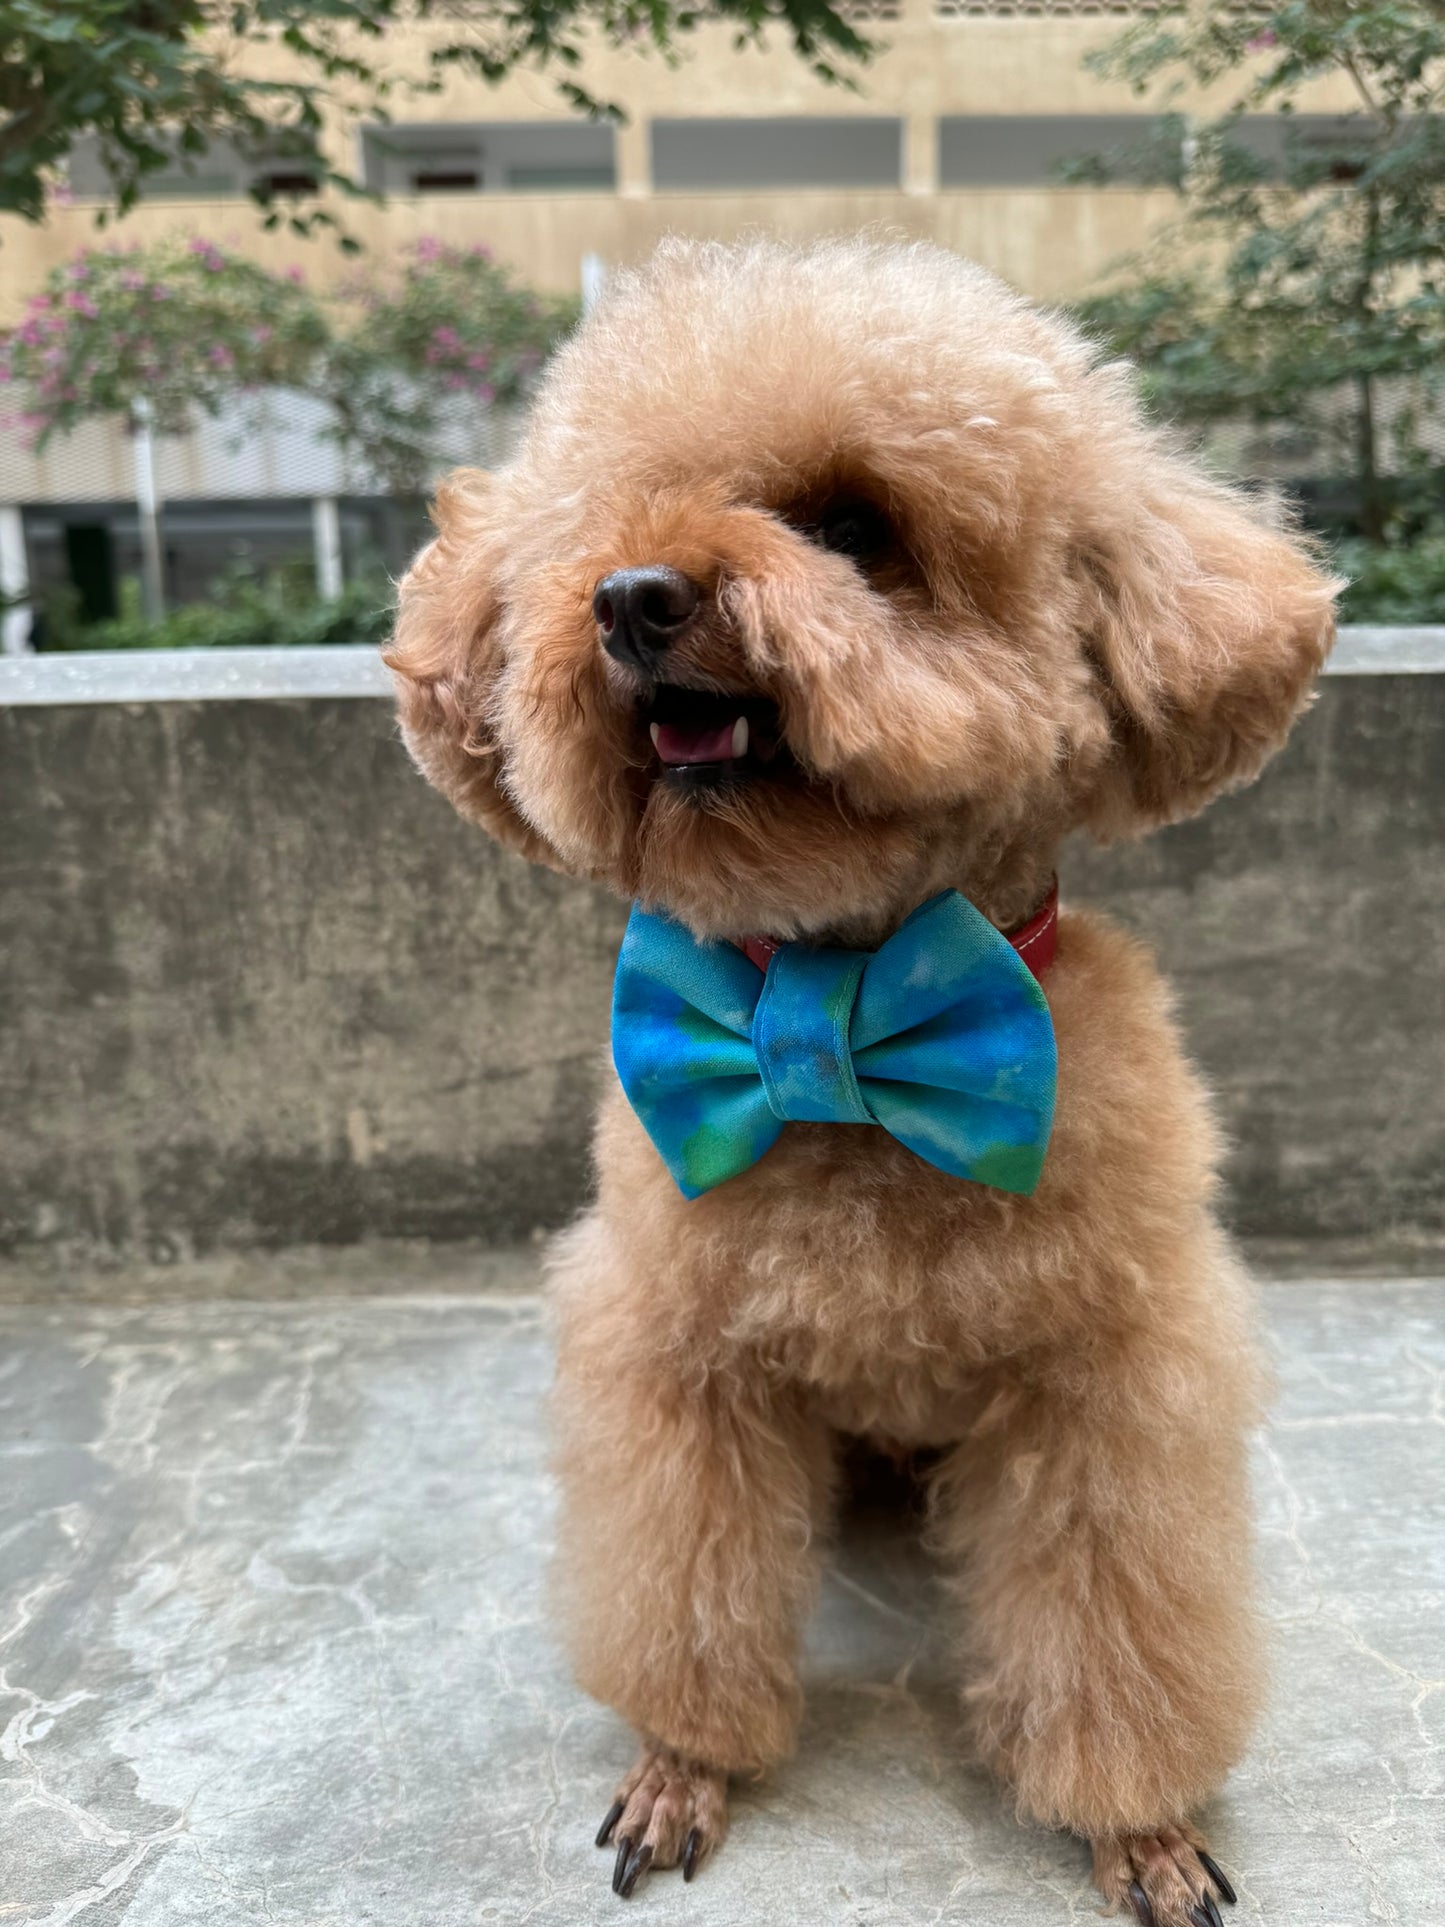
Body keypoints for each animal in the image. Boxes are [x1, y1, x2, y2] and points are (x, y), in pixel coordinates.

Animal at [387, 240, 1348, 1927]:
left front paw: (1139, 1824)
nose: (632, 598)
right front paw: (682, 1766)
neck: (843, 1014)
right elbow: (686, 1595)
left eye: (852, 527)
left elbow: (1114, 1628)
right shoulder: (679, 1365)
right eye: (601, 526)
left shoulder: (1108, 1378)